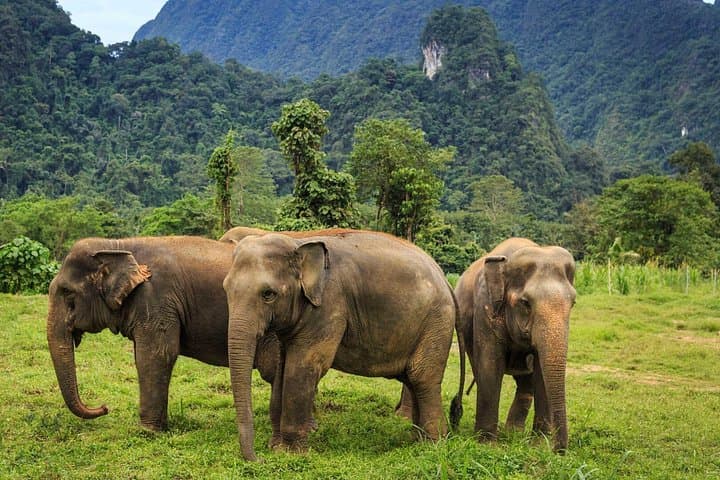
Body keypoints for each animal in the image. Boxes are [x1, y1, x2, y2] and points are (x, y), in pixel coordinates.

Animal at [46, 236, 280, 431]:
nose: (104, 407)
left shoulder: (156, 299)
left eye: (67, 292)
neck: (117, 245)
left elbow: (156, 355)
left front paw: (149, 431)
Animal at [223, 230, 461, 461]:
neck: (297, 243)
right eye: (226, 289)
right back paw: (417, 440)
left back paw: (432, 444)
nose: (257, 459)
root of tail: (445, 280)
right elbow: (283, 367)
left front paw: (289, 453)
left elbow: (303, 366)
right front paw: (276, 447)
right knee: (412, 379)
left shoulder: (329, 307)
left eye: (268, 294)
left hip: (436, 323)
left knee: (423, 379)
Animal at [454, 237, 576, 452]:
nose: (558, 451)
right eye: (525, 302)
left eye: (573, 303)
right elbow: (490, 365)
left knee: (526, 384)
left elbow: (541, 372)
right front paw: (487, 445)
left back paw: (513, 433)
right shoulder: (485, 308)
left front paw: (538, 445)